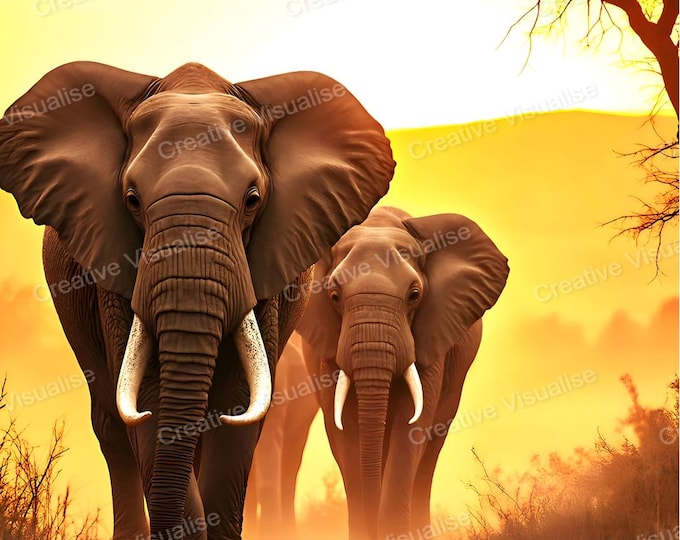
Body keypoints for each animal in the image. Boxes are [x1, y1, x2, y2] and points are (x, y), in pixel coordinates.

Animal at [295, 206, 509, 539]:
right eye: (334, 297)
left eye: (414, 295)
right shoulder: (327, 351)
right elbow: (343, 433)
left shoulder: (433, 337)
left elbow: (411, 427)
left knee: (429, 452)